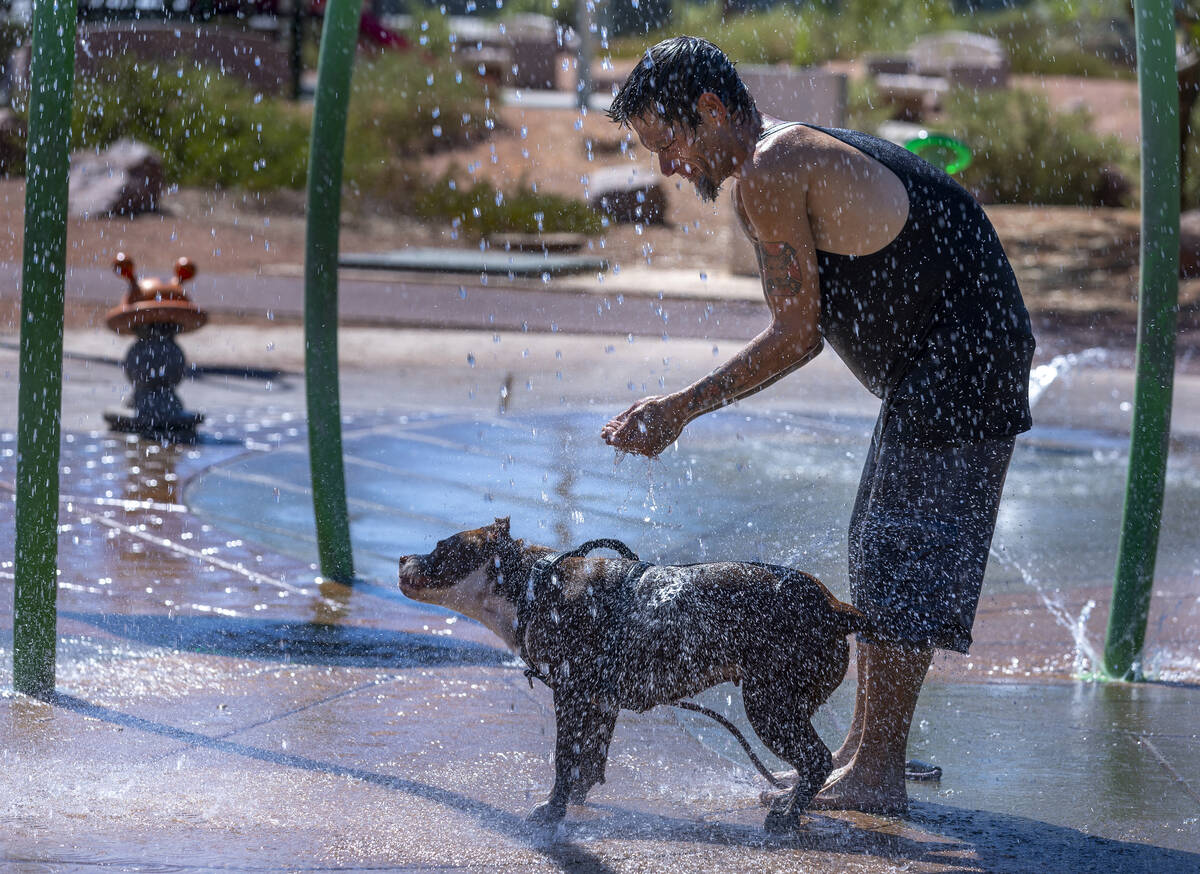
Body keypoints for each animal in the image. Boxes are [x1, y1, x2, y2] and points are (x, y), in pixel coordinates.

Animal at [398, 518, 868, 830]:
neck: (534, 586)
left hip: (771, 705)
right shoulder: (601, 701)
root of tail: (835, 608)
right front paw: (577, 796)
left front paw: (552, 810)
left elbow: (564, 757)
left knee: (817, 759)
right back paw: (787, 799)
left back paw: (787, 816)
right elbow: (589, 757)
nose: (402, 555)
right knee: (812, 763)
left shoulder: (570, 695)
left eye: (439, 548)